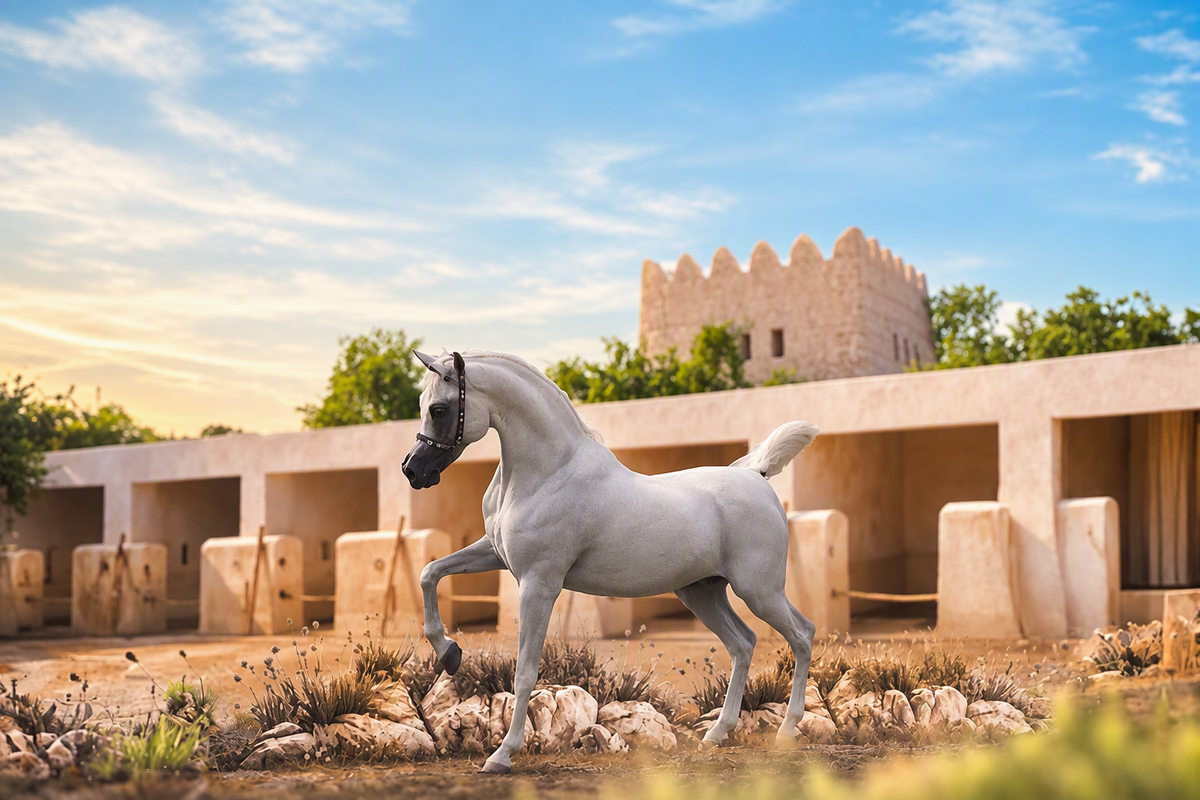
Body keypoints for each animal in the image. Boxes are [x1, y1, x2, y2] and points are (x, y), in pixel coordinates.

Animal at [401, 349, 820, 774]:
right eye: (422, 405)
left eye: (439, 409)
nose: (413, 470)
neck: (548, 473)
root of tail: (759, 476)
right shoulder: (494, 554)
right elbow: (430, 573)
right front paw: (449, 653)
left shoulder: (539, 583)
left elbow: (525, 672)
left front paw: (502, 755)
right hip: (702, 593)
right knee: (743, 643)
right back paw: (716, 734)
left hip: (759, 591)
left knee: (802, 635)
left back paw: (786, 732)